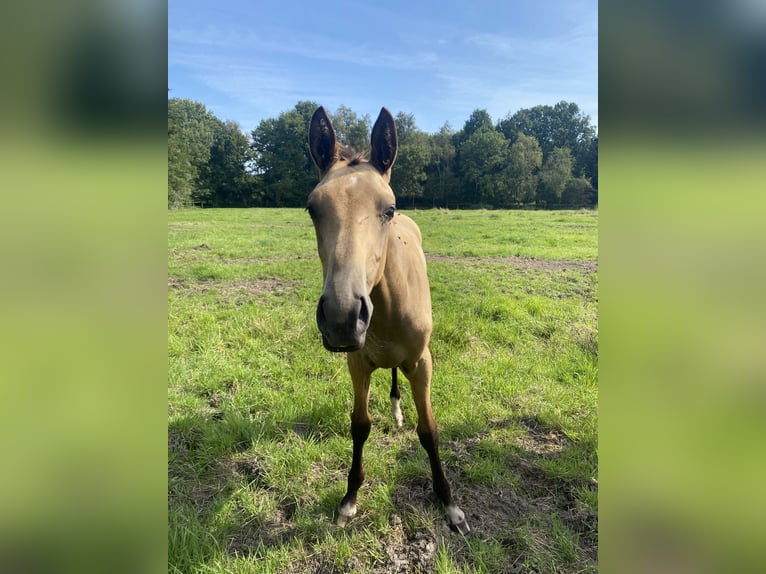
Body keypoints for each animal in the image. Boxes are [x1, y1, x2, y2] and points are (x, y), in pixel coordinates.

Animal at [308, 107, 472, 536]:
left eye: (389, 209)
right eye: (313, 208)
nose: (342, 317)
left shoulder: (422, 362)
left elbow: (429, 431)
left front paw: (449, 504)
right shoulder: (357, 362)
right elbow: (360, 425)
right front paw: (349, 499)